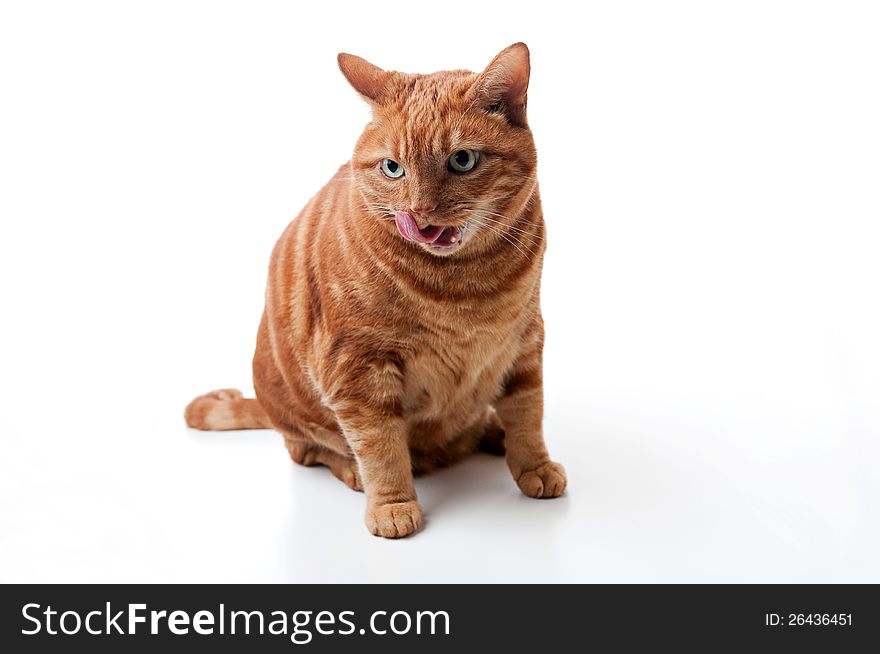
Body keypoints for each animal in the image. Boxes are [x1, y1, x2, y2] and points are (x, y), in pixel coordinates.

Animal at [187, 44, 572, 540]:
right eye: (393, 168)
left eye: (462, 160)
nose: (420, 212)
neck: (466, 287)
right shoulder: (357, 367)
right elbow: (381, 445)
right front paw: (392, 504)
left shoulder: (525, 342)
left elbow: (528, 413)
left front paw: (533, 466)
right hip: (295, 409)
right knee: (307, 449)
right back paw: (353, 470)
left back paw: (490, 431)